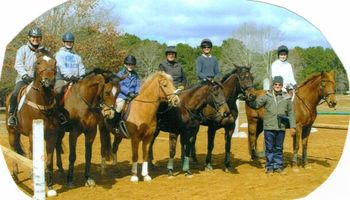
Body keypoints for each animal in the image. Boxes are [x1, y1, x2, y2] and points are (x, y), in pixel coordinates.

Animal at [4, 49, 58, 191]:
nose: (49, 81)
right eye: (38, 63)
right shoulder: (33, 135)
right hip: (12, 132)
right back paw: (15, 175)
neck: (42, 103)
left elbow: (49, 159)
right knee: (14, 151)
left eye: (54, 62)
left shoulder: (51, 135)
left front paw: (49, 184)